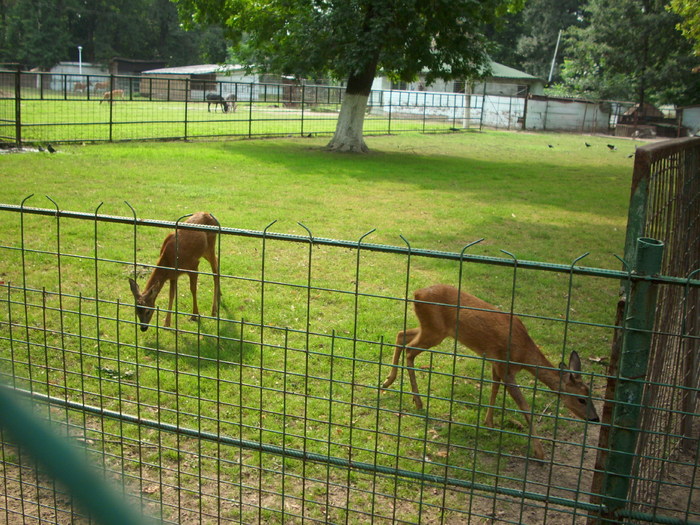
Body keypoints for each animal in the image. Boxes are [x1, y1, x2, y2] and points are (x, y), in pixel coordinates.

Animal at [380, 282, 600, 458]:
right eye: (581, 399)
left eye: (590, 394)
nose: (595, 418)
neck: (524, 354)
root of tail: (417, 293)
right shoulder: (506, 366)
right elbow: (524, 406)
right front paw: (540, 453)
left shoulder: (496, 364)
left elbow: (494, 387)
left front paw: (489, 422)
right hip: (435, 331)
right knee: (409, 350)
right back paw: (417, 400)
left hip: (431, 329)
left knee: (401, 335)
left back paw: (388, 381)